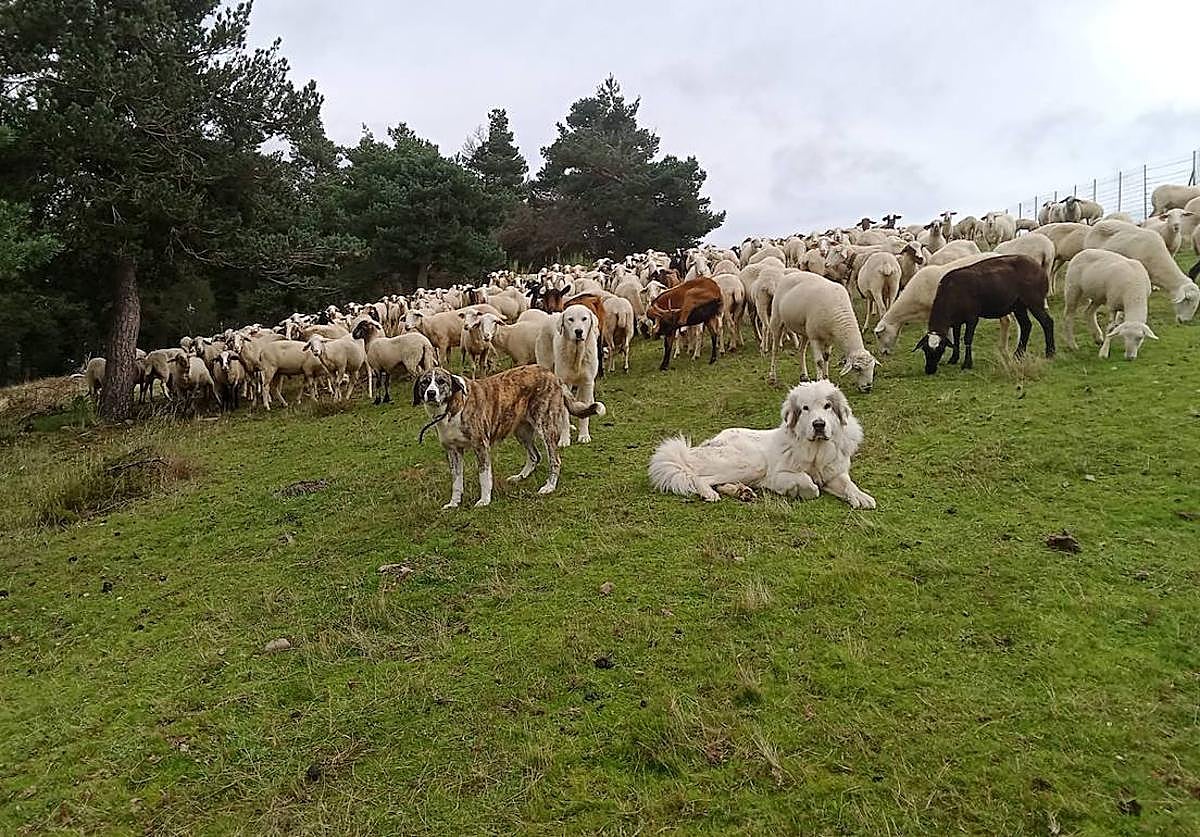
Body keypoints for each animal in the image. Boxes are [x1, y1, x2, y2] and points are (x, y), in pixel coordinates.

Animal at [914, 255, 1054, 374]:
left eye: (940, 349)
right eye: (925, 349)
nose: (929, 370)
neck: (951, 291)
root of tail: (1040, 269)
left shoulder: (972, 317)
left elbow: (967, 339)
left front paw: (967, 364)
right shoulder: (956, 320)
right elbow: (956, 338)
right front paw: (953, 359)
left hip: (1034, 300)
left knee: (1047, 322)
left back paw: (1050, 353)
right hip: (1018, 305)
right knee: (1026, 326)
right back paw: (1018, 355)